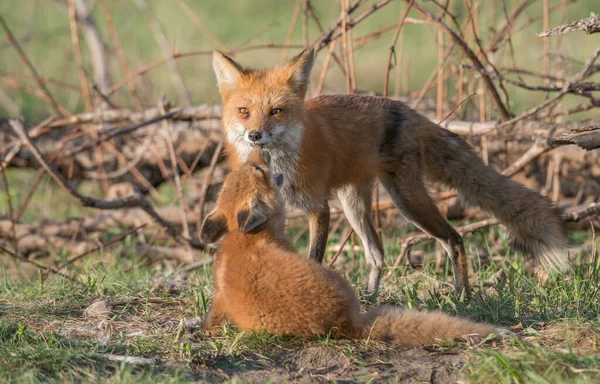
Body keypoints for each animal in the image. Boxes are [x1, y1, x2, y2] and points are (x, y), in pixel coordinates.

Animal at [198, 148, 502, 346]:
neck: (244, 238)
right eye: (261, 171)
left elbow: (212, 316)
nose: (258, 146)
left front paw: (206, 331)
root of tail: (346, 323)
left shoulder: (220, 295)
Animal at [211, 47, 568, 294]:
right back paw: (371, 298)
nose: (255, 135)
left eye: (276, 111)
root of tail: (405, 108)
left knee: (454, 238)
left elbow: (314, 258)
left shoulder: (318, 208)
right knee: (377, 254)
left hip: (407, 201)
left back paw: (462, 295)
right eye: (243, 112)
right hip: (355, 205)